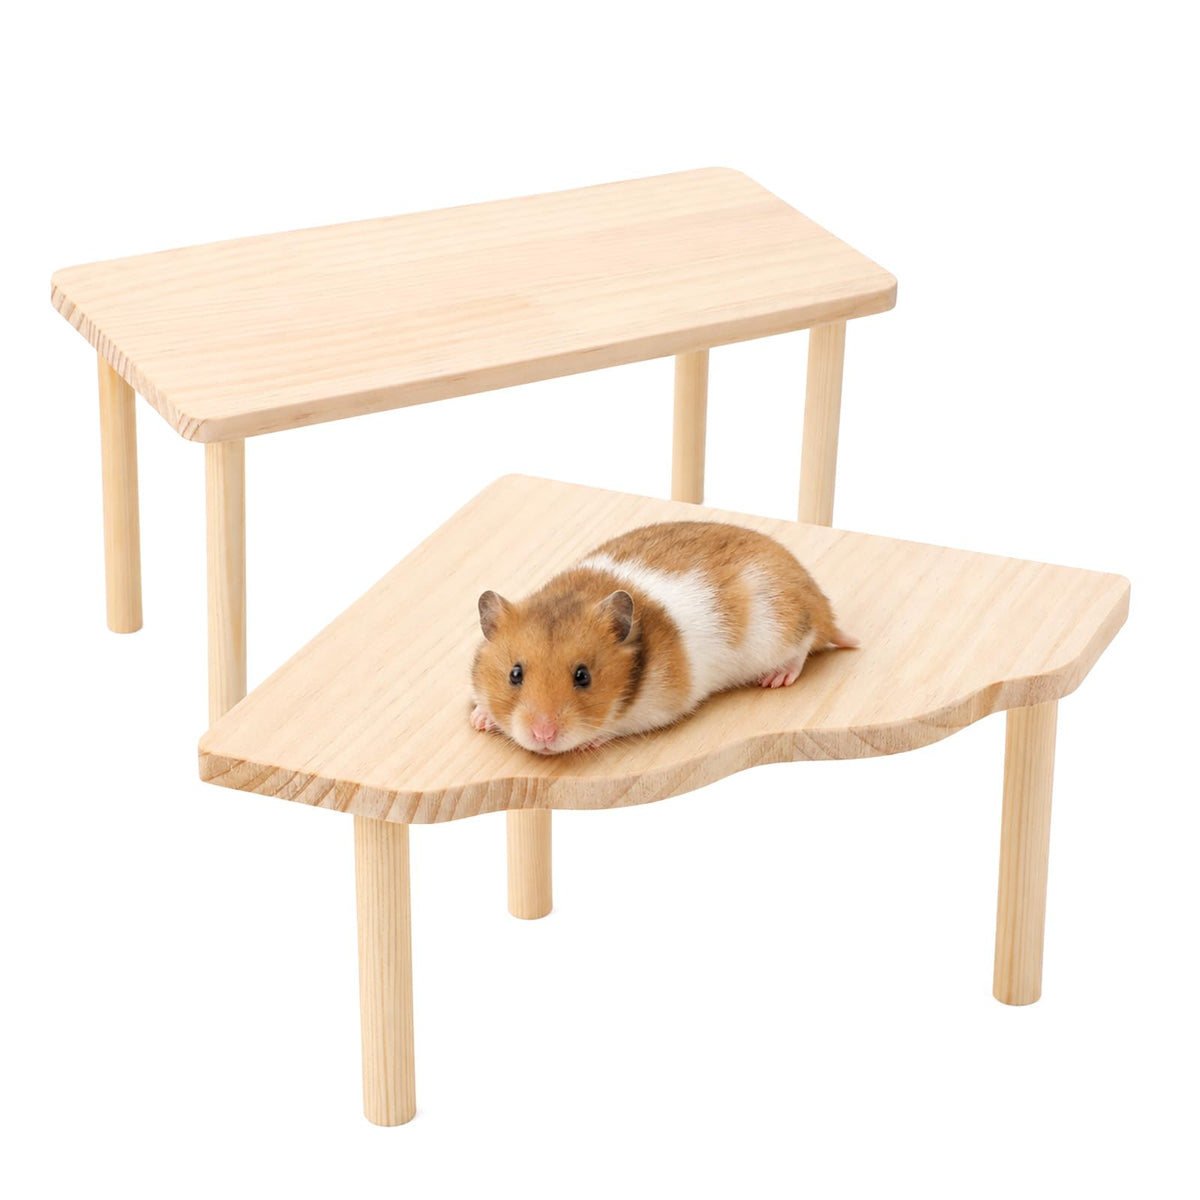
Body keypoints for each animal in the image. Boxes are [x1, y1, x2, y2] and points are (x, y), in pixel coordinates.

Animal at [470, 521, 857, 756]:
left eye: (583, 676)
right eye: (514, 674)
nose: (543, 737)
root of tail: (820, 602)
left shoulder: (659, 707)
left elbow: (616, 728)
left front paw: (588, 743)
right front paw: (480, 719)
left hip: (783, 629)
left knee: (804, 645)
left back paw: (776, 678)